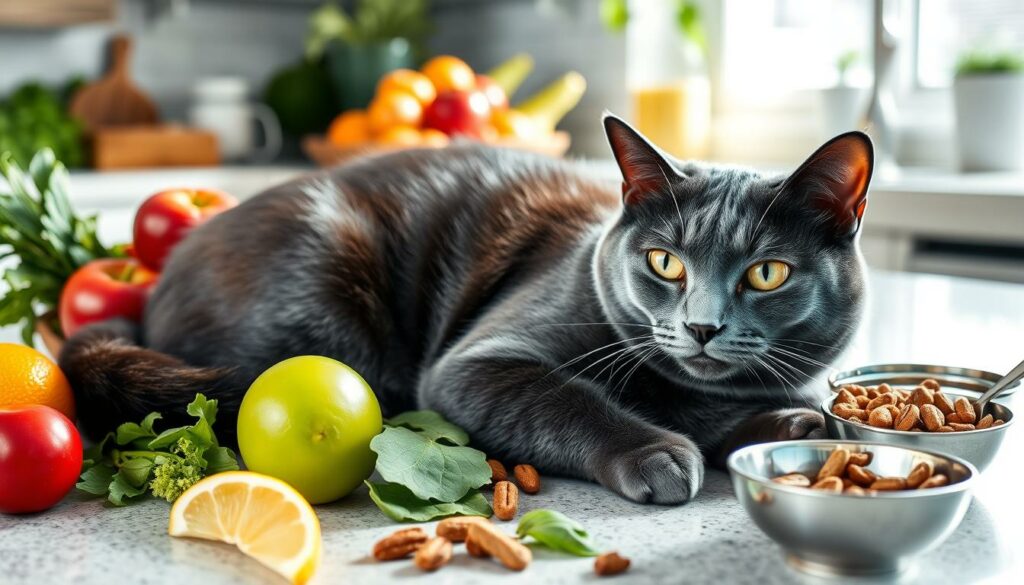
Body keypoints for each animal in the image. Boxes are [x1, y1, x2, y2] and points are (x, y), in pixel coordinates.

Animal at [59, 114, 872, 504]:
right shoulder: (476, 364)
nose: (702, 325)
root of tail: (156, 284)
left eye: (766, 273)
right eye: (664, 262)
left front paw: (793, 425)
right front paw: (658, 450)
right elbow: (567, 398)